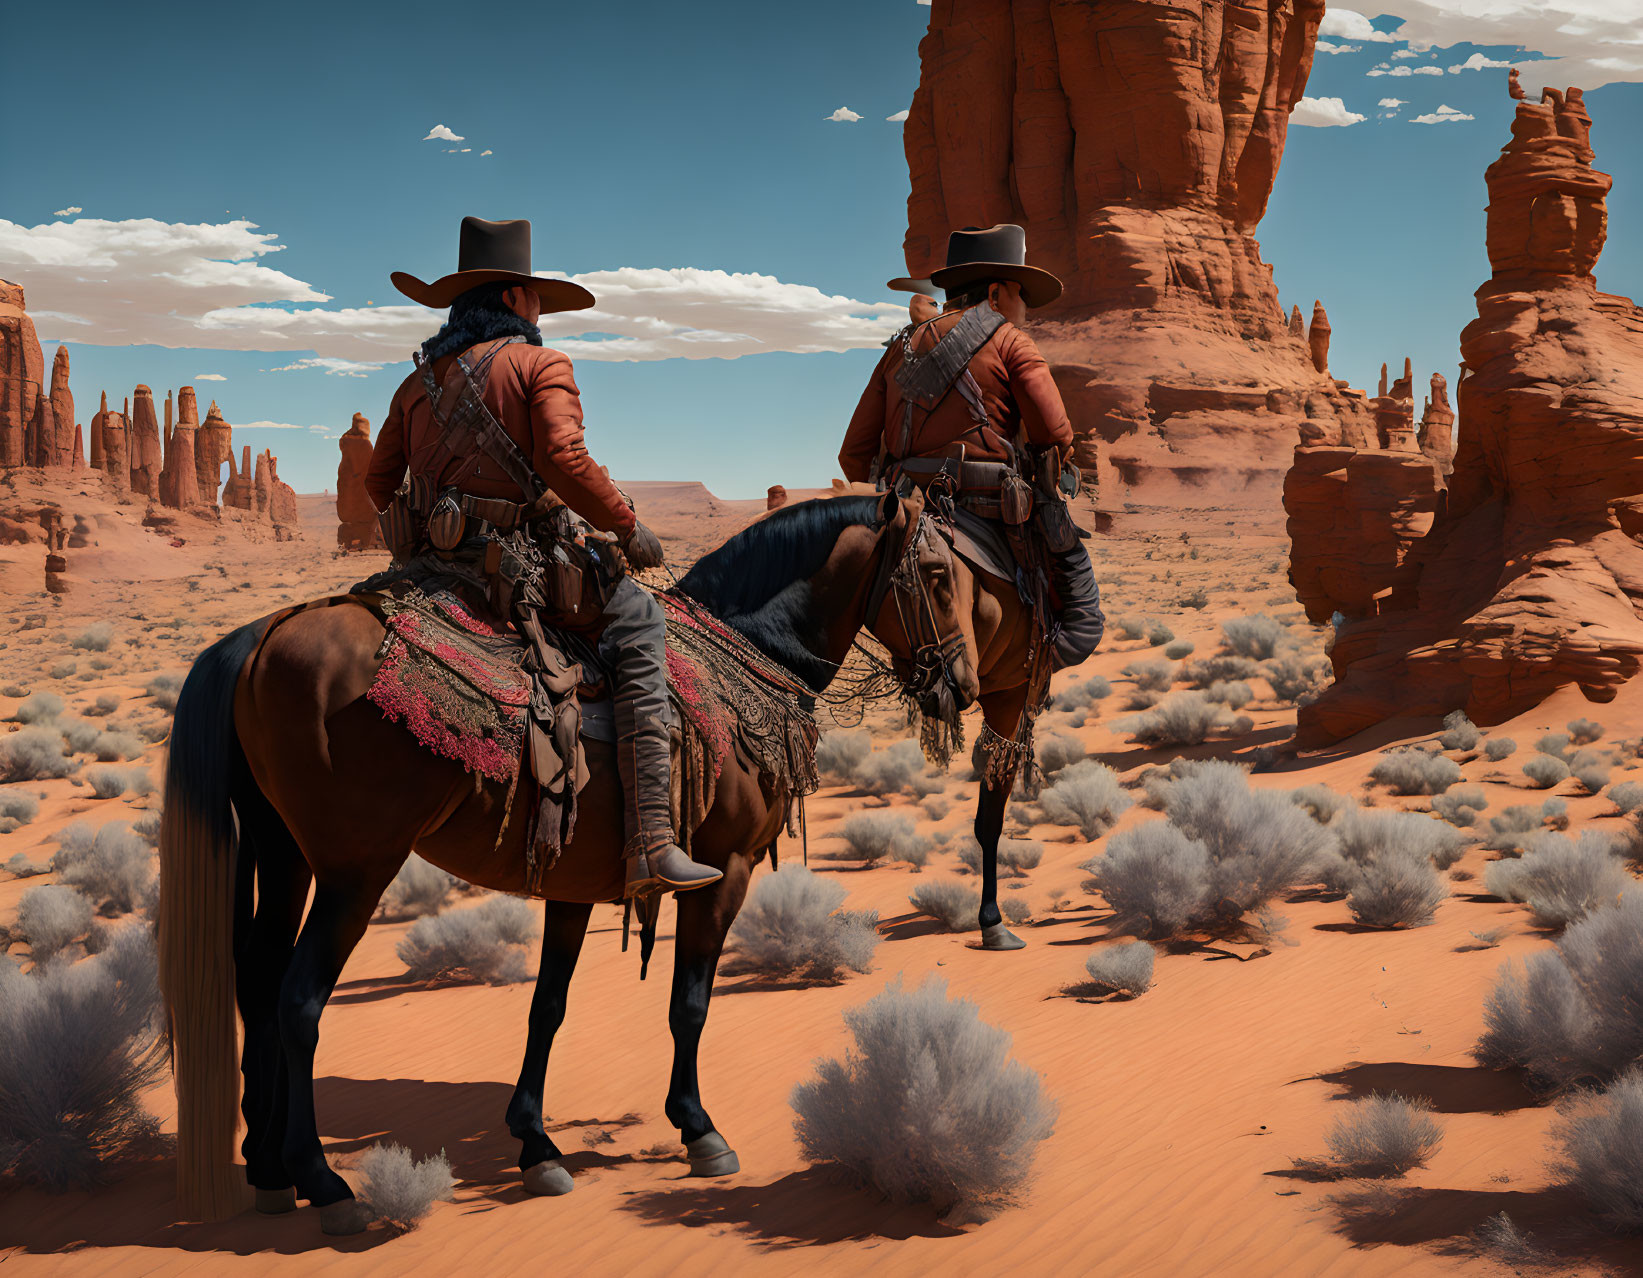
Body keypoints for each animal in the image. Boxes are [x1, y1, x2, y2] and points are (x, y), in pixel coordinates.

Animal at [154, 489, 979, 1222]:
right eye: (938, 576)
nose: (963, 686)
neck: (744, 650)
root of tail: (262, 634)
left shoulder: (574, 884)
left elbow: (546, 1007)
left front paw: (536, 1145)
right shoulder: (725, 870)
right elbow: (690, 1003)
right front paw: (699, 1128)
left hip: (285, 856)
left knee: (258, 986)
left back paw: (266, 1168)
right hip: (355, 871)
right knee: (299, 999)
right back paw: (323, 1182)